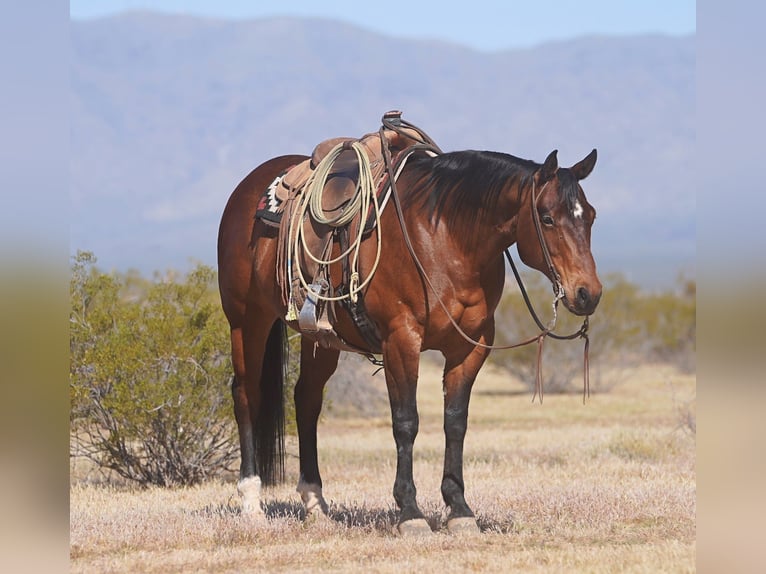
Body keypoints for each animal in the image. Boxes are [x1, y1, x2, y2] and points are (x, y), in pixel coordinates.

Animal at [217, 120, 602, 535]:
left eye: (591, 216)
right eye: (546, 217)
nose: (587, 293)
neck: (446, 236)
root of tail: (247, 188)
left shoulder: (471, 346)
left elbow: (455, 422)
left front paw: (459, 508)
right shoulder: (401, 340)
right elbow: (406, 422)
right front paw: (410, 511)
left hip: (320, 338)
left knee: (306, 400)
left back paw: (315, 502)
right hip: (247, 320)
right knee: (246, 395)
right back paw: (251, 502)